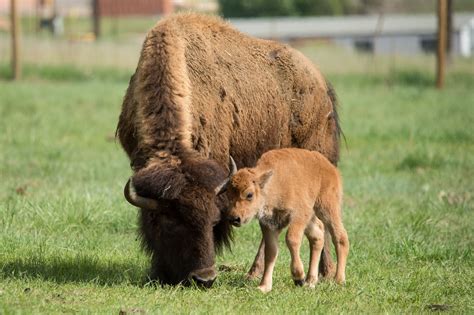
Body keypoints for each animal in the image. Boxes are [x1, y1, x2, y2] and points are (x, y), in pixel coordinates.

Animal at [221, 149, 348, 294]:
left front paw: (298, 277)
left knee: (340, 237)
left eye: (249, 194)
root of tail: (330, 167)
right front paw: (264, 286)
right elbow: (271, 252)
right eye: (229, 194)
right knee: (317, 236)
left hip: (327, 208)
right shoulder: (268, 225)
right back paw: (310, 281)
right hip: (311, 218)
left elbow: (291, 239)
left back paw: (338, 280)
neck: (274, 183)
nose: (234, 218)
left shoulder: (298, 216)